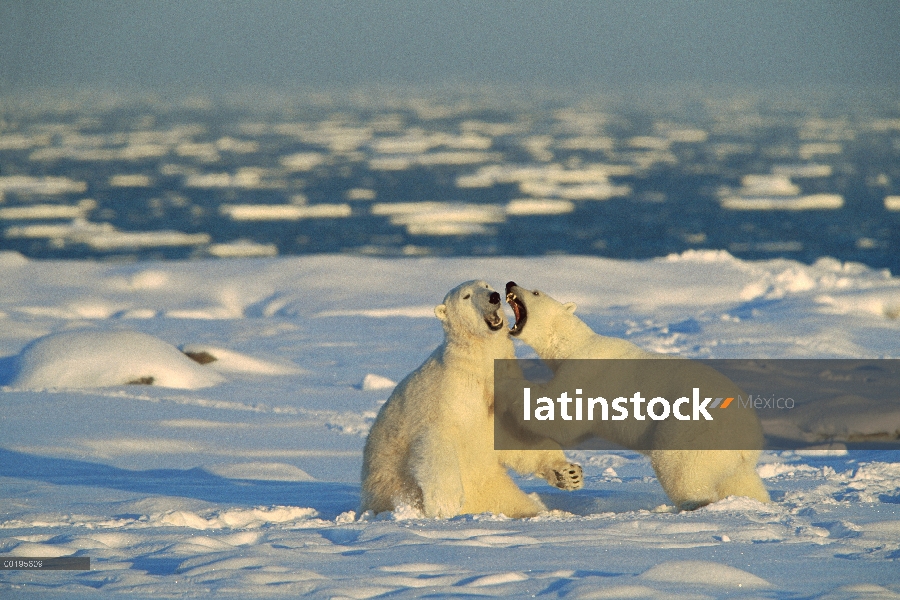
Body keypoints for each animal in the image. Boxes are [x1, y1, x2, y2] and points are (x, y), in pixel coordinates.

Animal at [358, 278, 584, 516]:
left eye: (485, 286)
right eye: (466, 296)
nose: (494, 296)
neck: (478, 366)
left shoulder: (499, 398)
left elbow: (517, 435)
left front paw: (568, 473)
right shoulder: (447, 396)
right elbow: (436, 443)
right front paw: (446, 504)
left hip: (495, 489)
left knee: (518, 504)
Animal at [502, 282, 768, 510]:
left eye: (535, 292)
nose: (510, 284)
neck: (573, 345)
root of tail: (750, 432)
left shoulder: (587, 373)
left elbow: (560, 415)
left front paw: (509, 383)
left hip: (692, 427)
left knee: (678, 467)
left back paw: (693, 502)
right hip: (733, 455)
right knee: (740, 480)